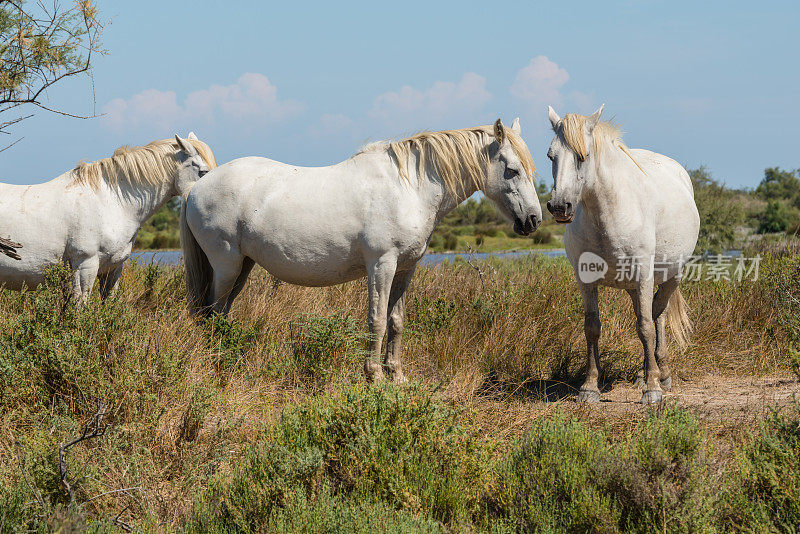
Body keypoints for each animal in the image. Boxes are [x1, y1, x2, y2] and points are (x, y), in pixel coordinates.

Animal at [182, 119, 544, 384]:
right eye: (511, 170)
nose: (533, 220)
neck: (407, 188)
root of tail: (195, 188)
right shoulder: (382, 264)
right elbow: (377, 320)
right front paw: (374, 377)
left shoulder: (406, 268)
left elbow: (397, 321)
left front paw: (396, 376)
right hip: (226, 264)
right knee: (212, 312)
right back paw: (218, 365)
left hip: (243, 266)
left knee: (219, 313)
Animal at [548, 105, 696, 406]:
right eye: (550, 156)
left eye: (583, 156)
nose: (559, 207)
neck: (608, 211)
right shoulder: (586, 281)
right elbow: (592, 327)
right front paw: (589, 387)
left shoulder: (643, 276)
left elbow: (645, 328)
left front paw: (652, 390)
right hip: (632, 286)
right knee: (651, 313)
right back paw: (646, 372)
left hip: (671, 277)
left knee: (656, 315)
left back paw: (661, 375)